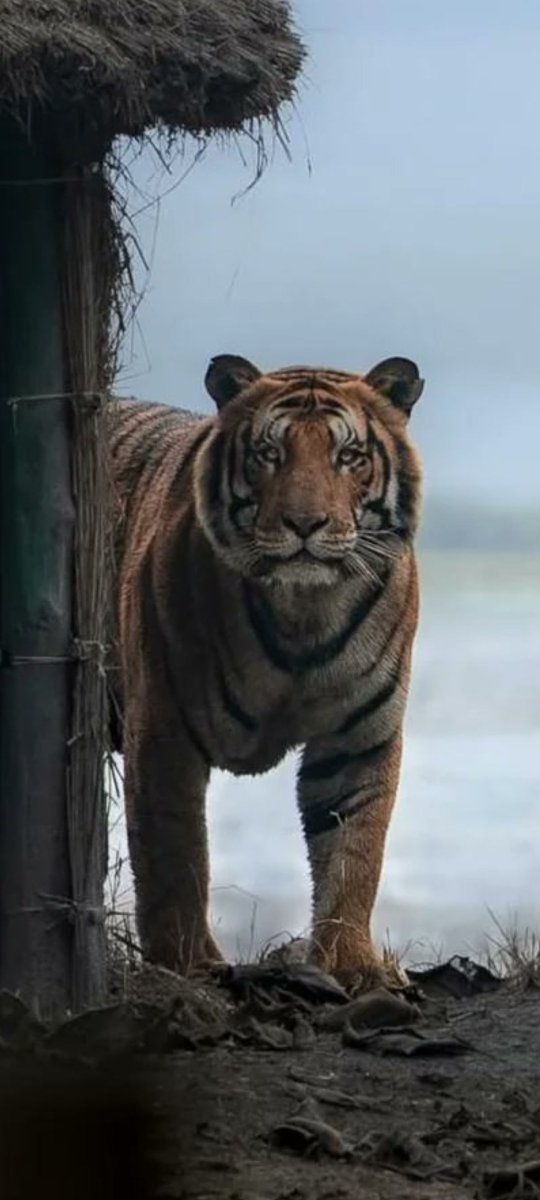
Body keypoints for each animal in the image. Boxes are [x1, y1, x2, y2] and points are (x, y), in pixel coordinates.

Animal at [109, 353, 424, 986]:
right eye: (268, 454)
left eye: (348, 456)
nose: (305, 523)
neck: (305, 610)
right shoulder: (163, 728)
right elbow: (176, 850)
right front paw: (187, 962)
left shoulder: (360, 737)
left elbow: (355, 851)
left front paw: (351, 965)